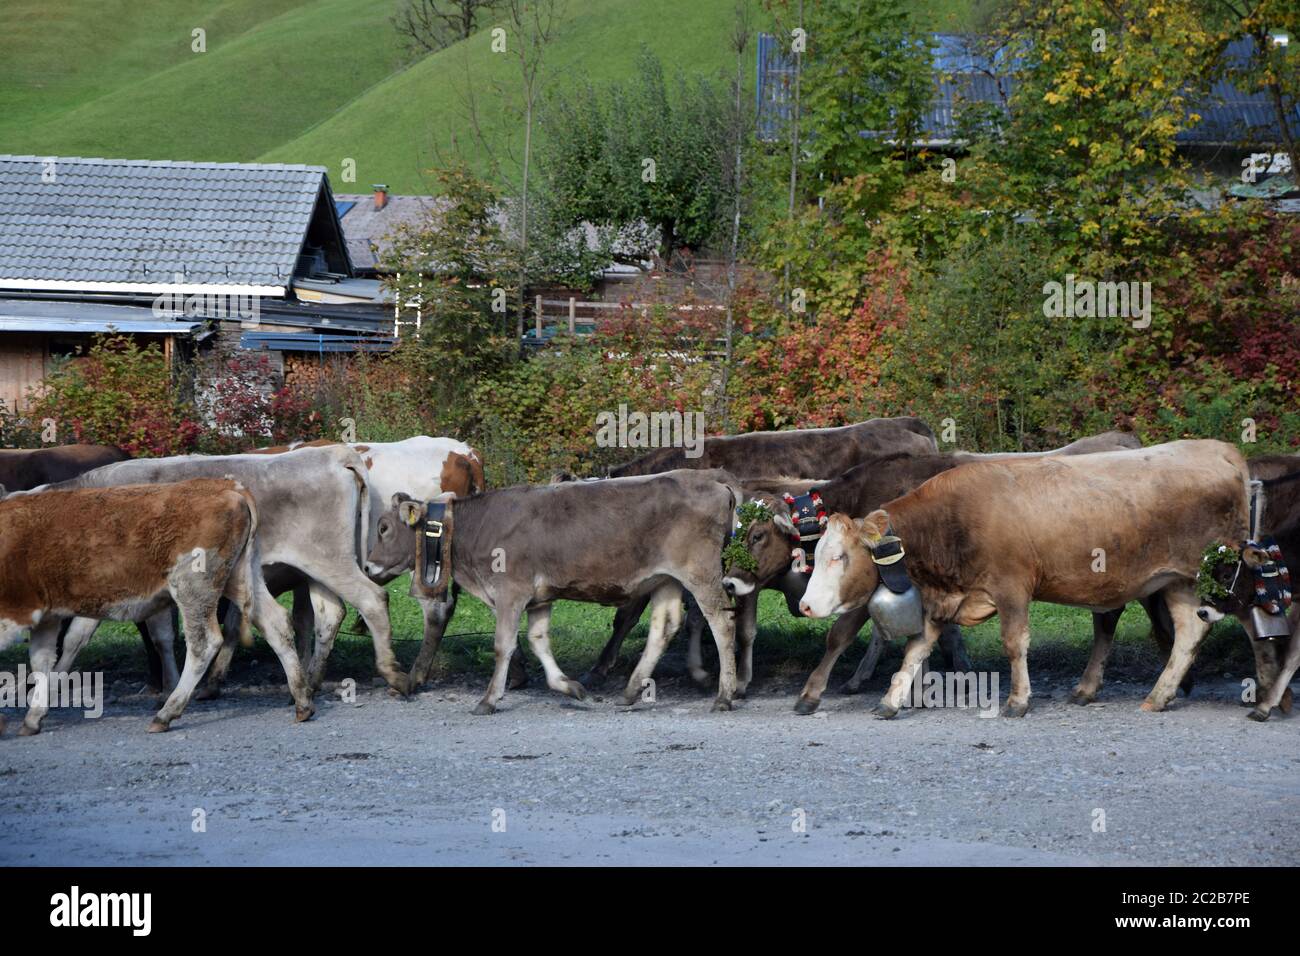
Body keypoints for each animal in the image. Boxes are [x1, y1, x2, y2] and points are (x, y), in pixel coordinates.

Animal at [0, 481, 314, 738]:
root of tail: (228, 486)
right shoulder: (46, 616)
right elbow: (42, 661)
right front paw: (33, 717)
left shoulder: (15, 611)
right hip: (239, 577)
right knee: (275, 624)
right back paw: (302, 702)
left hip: (192, 585)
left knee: (204, 643)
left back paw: (166, 713)